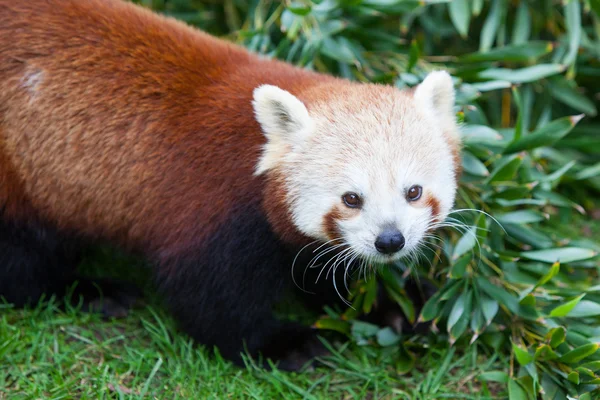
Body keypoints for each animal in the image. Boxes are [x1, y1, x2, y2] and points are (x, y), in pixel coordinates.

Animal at [0, 0, 460, 370]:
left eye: (414, 192)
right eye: (351, 199)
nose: (390, 241)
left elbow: (321, 267)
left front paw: (398, 304)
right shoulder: (211, 209)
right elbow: (209, 298)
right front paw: (283, 343)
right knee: (22, 258)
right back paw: (89, 290)